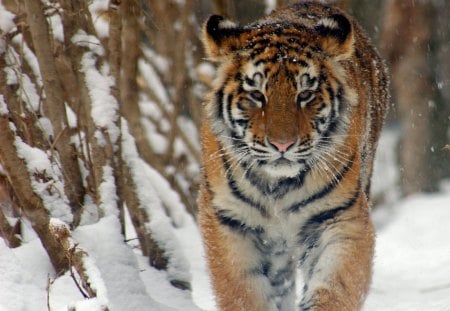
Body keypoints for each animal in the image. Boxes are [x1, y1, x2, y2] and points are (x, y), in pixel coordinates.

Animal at [199, 1, 388, 310]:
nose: (282, 144)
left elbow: (335, 288)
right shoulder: (230, 221)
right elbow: (243, 293)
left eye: (305, 94)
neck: (278, 186)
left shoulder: (339, 217)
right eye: (256, 95)